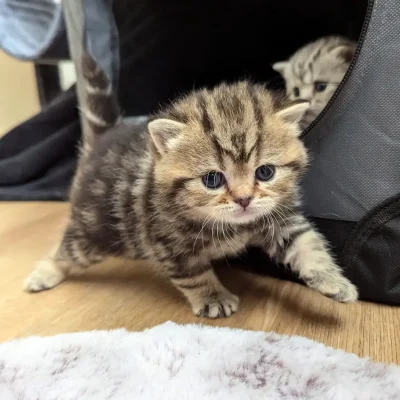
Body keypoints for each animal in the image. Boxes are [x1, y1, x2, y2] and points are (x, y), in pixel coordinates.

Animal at [23, 50, 358, 318]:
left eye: (265, 173)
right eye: (212, 179)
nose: (244, 199)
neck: (232, 225)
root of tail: (103, 142)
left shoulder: (279, 218)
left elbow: (307, 243)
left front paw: (334, 280)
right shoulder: (166, 243)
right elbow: (193, 274)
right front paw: (213, 297)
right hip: (97, 231)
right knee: (66, 249)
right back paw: (43, 273)